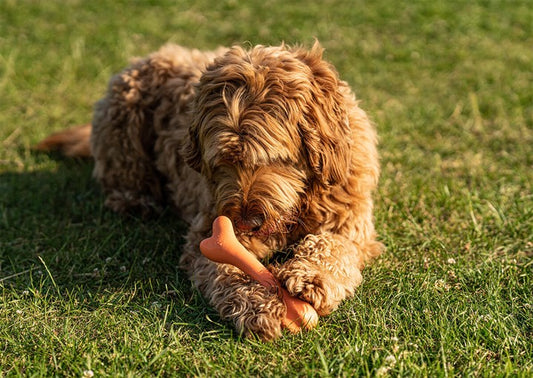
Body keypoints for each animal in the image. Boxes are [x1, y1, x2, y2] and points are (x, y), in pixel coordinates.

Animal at [38, 42, 386, 340]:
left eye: (273, 159)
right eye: (223, 161)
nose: (247, 223)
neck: (301, 204)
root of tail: (155, 54)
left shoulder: (351, 222)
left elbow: (336, 246)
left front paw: (312, 277)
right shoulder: (209, 231)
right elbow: (228, 267)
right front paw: (259, 306)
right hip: (121, 116)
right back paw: (134, 201)